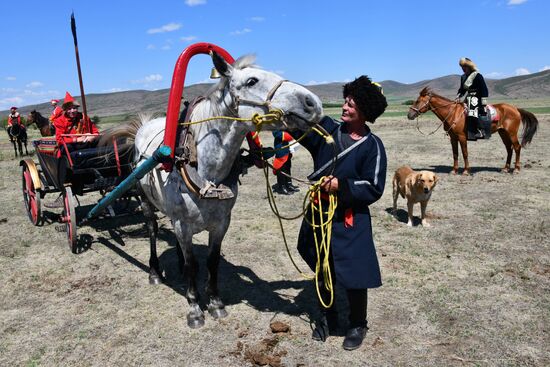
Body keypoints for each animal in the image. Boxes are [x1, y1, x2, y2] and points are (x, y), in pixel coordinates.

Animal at [410, 88, 540, 176]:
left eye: (417, 101)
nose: (409, 115)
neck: (453, 113)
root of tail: (516, 109)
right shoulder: (453, 138)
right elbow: (455, 154)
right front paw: (454, 170)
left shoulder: (462, 137)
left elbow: (465, 153)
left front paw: (466, 171)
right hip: (503, 133)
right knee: (509, 148)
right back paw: (505, 169)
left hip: (512, 133)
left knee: (517, 147)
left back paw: (516, 169)